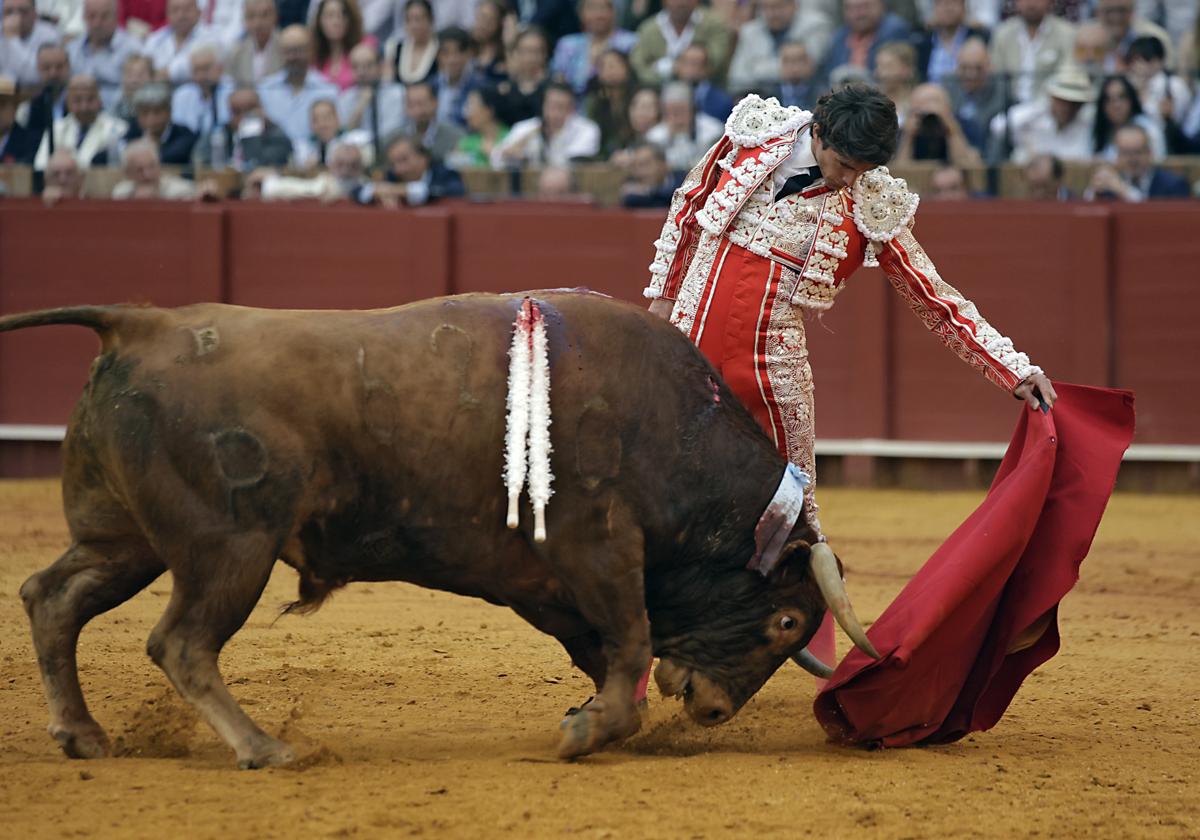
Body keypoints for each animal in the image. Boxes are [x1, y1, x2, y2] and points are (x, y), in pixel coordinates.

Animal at [0, 290, 873, 768]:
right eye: (785, 620)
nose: (713, 708)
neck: (669, 427)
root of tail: (140, 324)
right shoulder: (598, 547)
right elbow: (628, 644)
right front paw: (589, 731)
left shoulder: (541, 580)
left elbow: (604, 653)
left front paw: (592, 720)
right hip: (229, 547)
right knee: (180, 642)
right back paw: (266, 749)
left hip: (125, 541)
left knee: (53, 596)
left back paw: (82, 733)